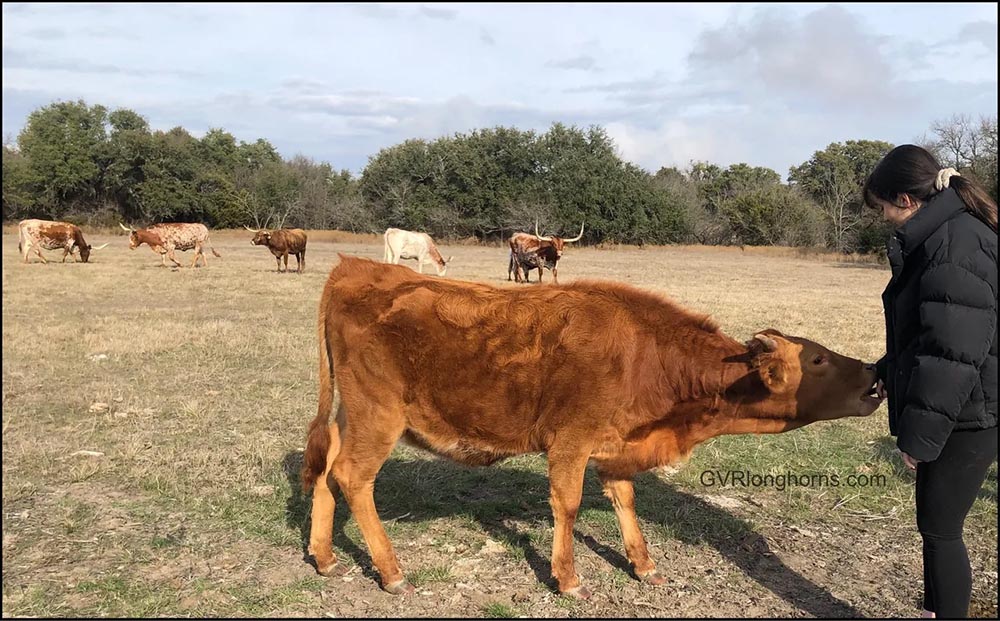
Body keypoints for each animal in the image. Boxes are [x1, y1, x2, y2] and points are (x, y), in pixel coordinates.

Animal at [300, 256, 880, 596]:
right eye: (818, 360)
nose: (876, 373)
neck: (648, 358)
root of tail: (354, 269)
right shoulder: (570, 444)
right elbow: (569, 505)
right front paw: (569, 578)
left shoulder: (615, 447)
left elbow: (625, 500)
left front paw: (643, 565)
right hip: (378, 416)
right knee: (353, 477)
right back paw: (392, 572)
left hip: (352, 415)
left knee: (326, 470)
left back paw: (325, 559)